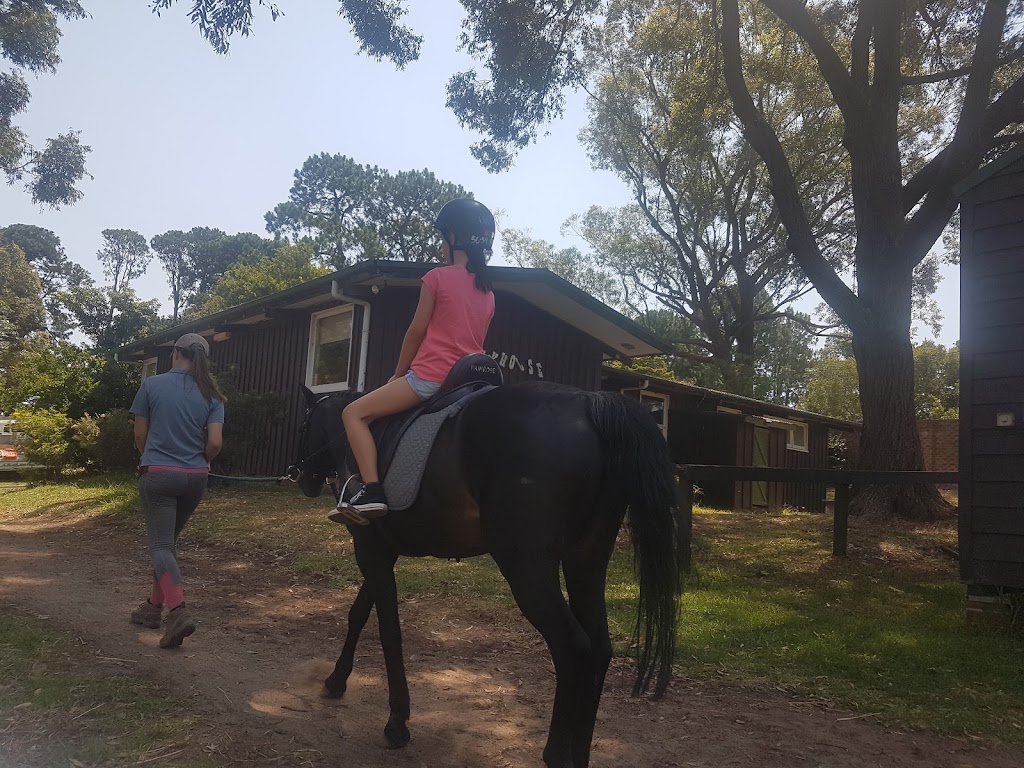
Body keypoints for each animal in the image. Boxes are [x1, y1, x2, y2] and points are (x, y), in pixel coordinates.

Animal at [294, 378, 679, 768]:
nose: (302, 478)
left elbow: (389, 630)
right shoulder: (383, 550)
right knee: (599, 648)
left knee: (572, 646)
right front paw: (336, 680)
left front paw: (397, 722)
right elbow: (359, 612)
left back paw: (555, 753)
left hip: (527, 567)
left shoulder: (369, 548)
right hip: (587, 560)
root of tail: (590, 404)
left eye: (304, 424)